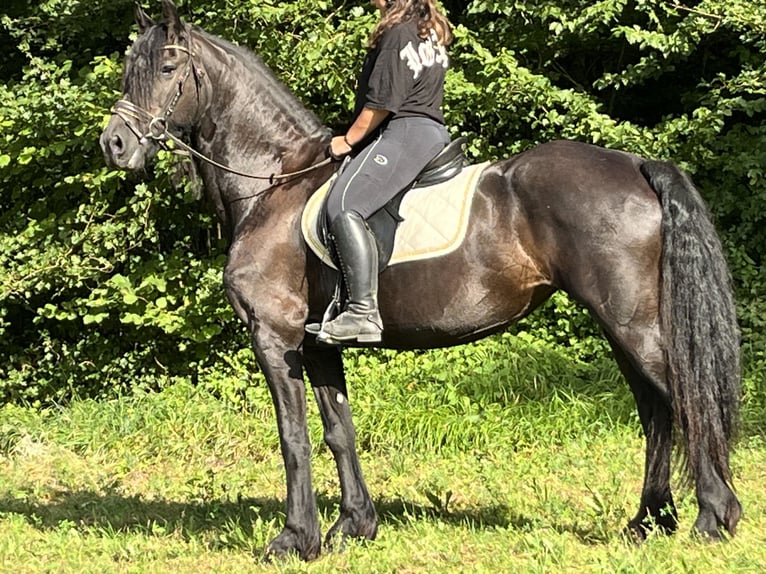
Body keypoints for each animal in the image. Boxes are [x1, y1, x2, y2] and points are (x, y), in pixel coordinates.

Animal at [100, 0, 744, 560]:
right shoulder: (317, 343)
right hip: (620, 326)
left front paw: (294, 540)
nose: (115, 143)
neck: (273, 182)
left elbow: (294, 436)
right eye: (131, 70)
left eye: (166, 67)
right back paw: (649, 521)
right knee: (655, 410)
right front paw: (353, 527)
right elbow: (338, 430)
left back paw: (714, 517)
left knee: (683, 399)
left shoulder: (276, 337)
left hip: (633, 324)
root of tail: (635, 165)